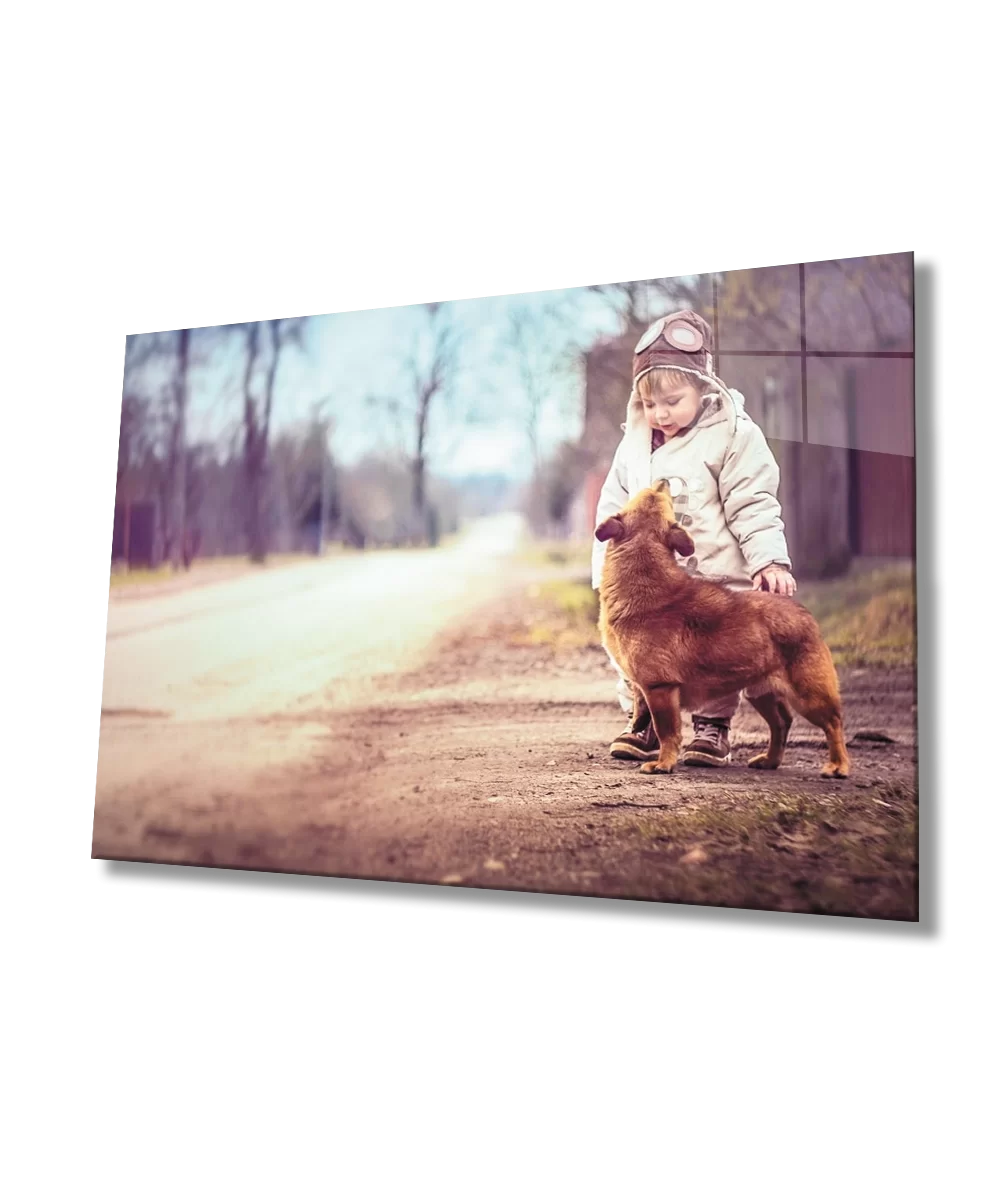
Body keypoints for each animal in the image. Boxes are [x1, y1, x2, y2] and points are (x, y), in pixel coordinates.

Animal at [593, 477, 849, 777]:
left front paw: (664, 763)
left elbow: (667, 731)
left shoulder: (660, 689)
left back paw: (838, 765)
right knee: (781, 723)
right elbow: (643, 714)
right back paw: (770, 760)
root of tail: (804, 614)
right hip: (762, 693)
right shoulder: (644, 688)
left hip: (809, 696)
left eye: (659, 495)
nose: (663, 480)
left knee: (833, 724)